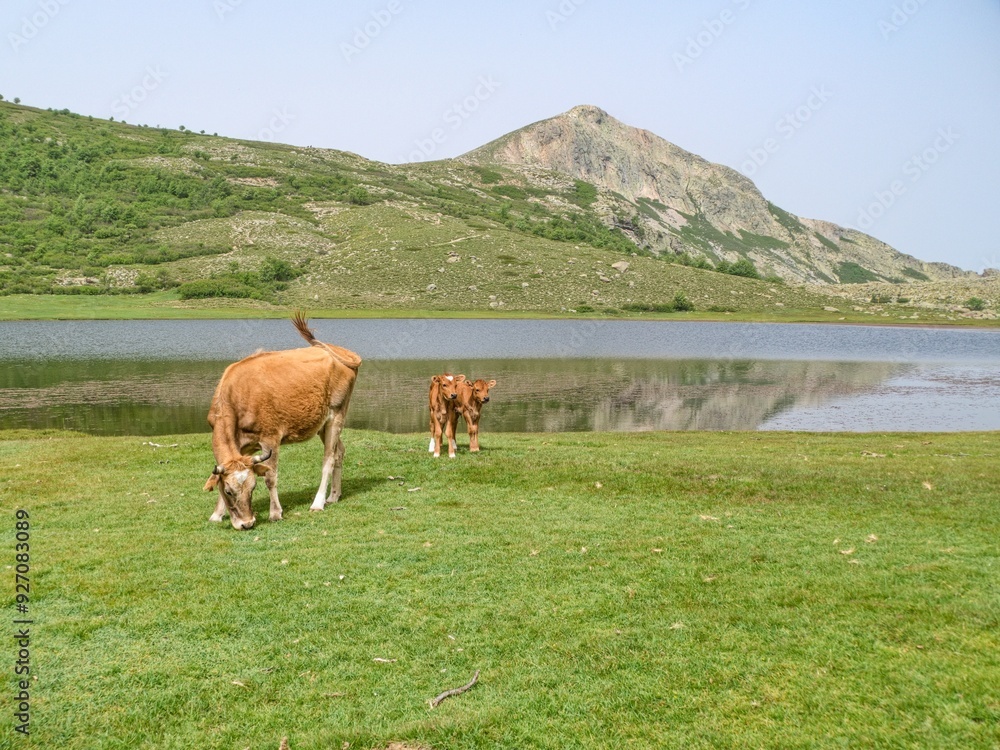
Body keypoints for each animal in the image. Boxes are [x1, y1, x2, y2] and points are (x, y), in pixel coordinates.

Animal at [203, 313, 361, 530]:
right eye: (229, 491)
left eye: (253, 487)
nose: (247, 523)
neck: (237, 396)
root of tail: (338, 350)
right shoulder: (243, 447)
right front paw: (217, 514)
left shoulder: (270, 438)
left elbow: (271, 477)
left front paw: (275, 513)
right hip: (322, 424)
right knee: (340, 452)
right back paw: (334, 496)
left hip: (336, 415)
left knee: (328, 458)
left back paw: (318, 502)